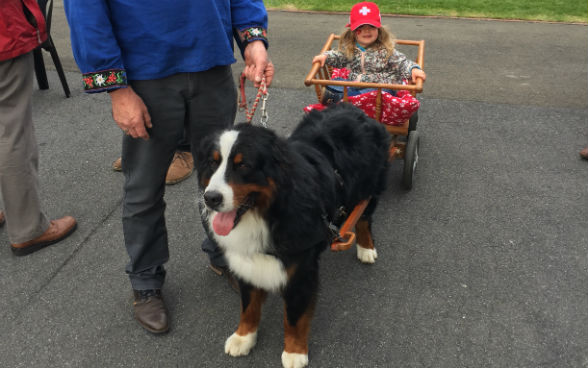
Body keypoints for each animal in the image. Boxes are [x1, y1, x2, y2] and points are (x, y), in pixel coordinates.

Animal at [196, 103, 390, 368]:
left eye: (243, 165)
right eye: (212, 163)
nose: (211, 198)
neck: (268, 214)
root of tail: (353, 107)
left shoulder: (301, 269)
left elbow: (294, 318)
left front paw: (294, 352)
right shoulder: (245, 260)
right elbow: (248, 306)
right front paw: (243, 337)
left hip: (368, 188)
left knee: (364, 218)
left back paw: (366, 248)